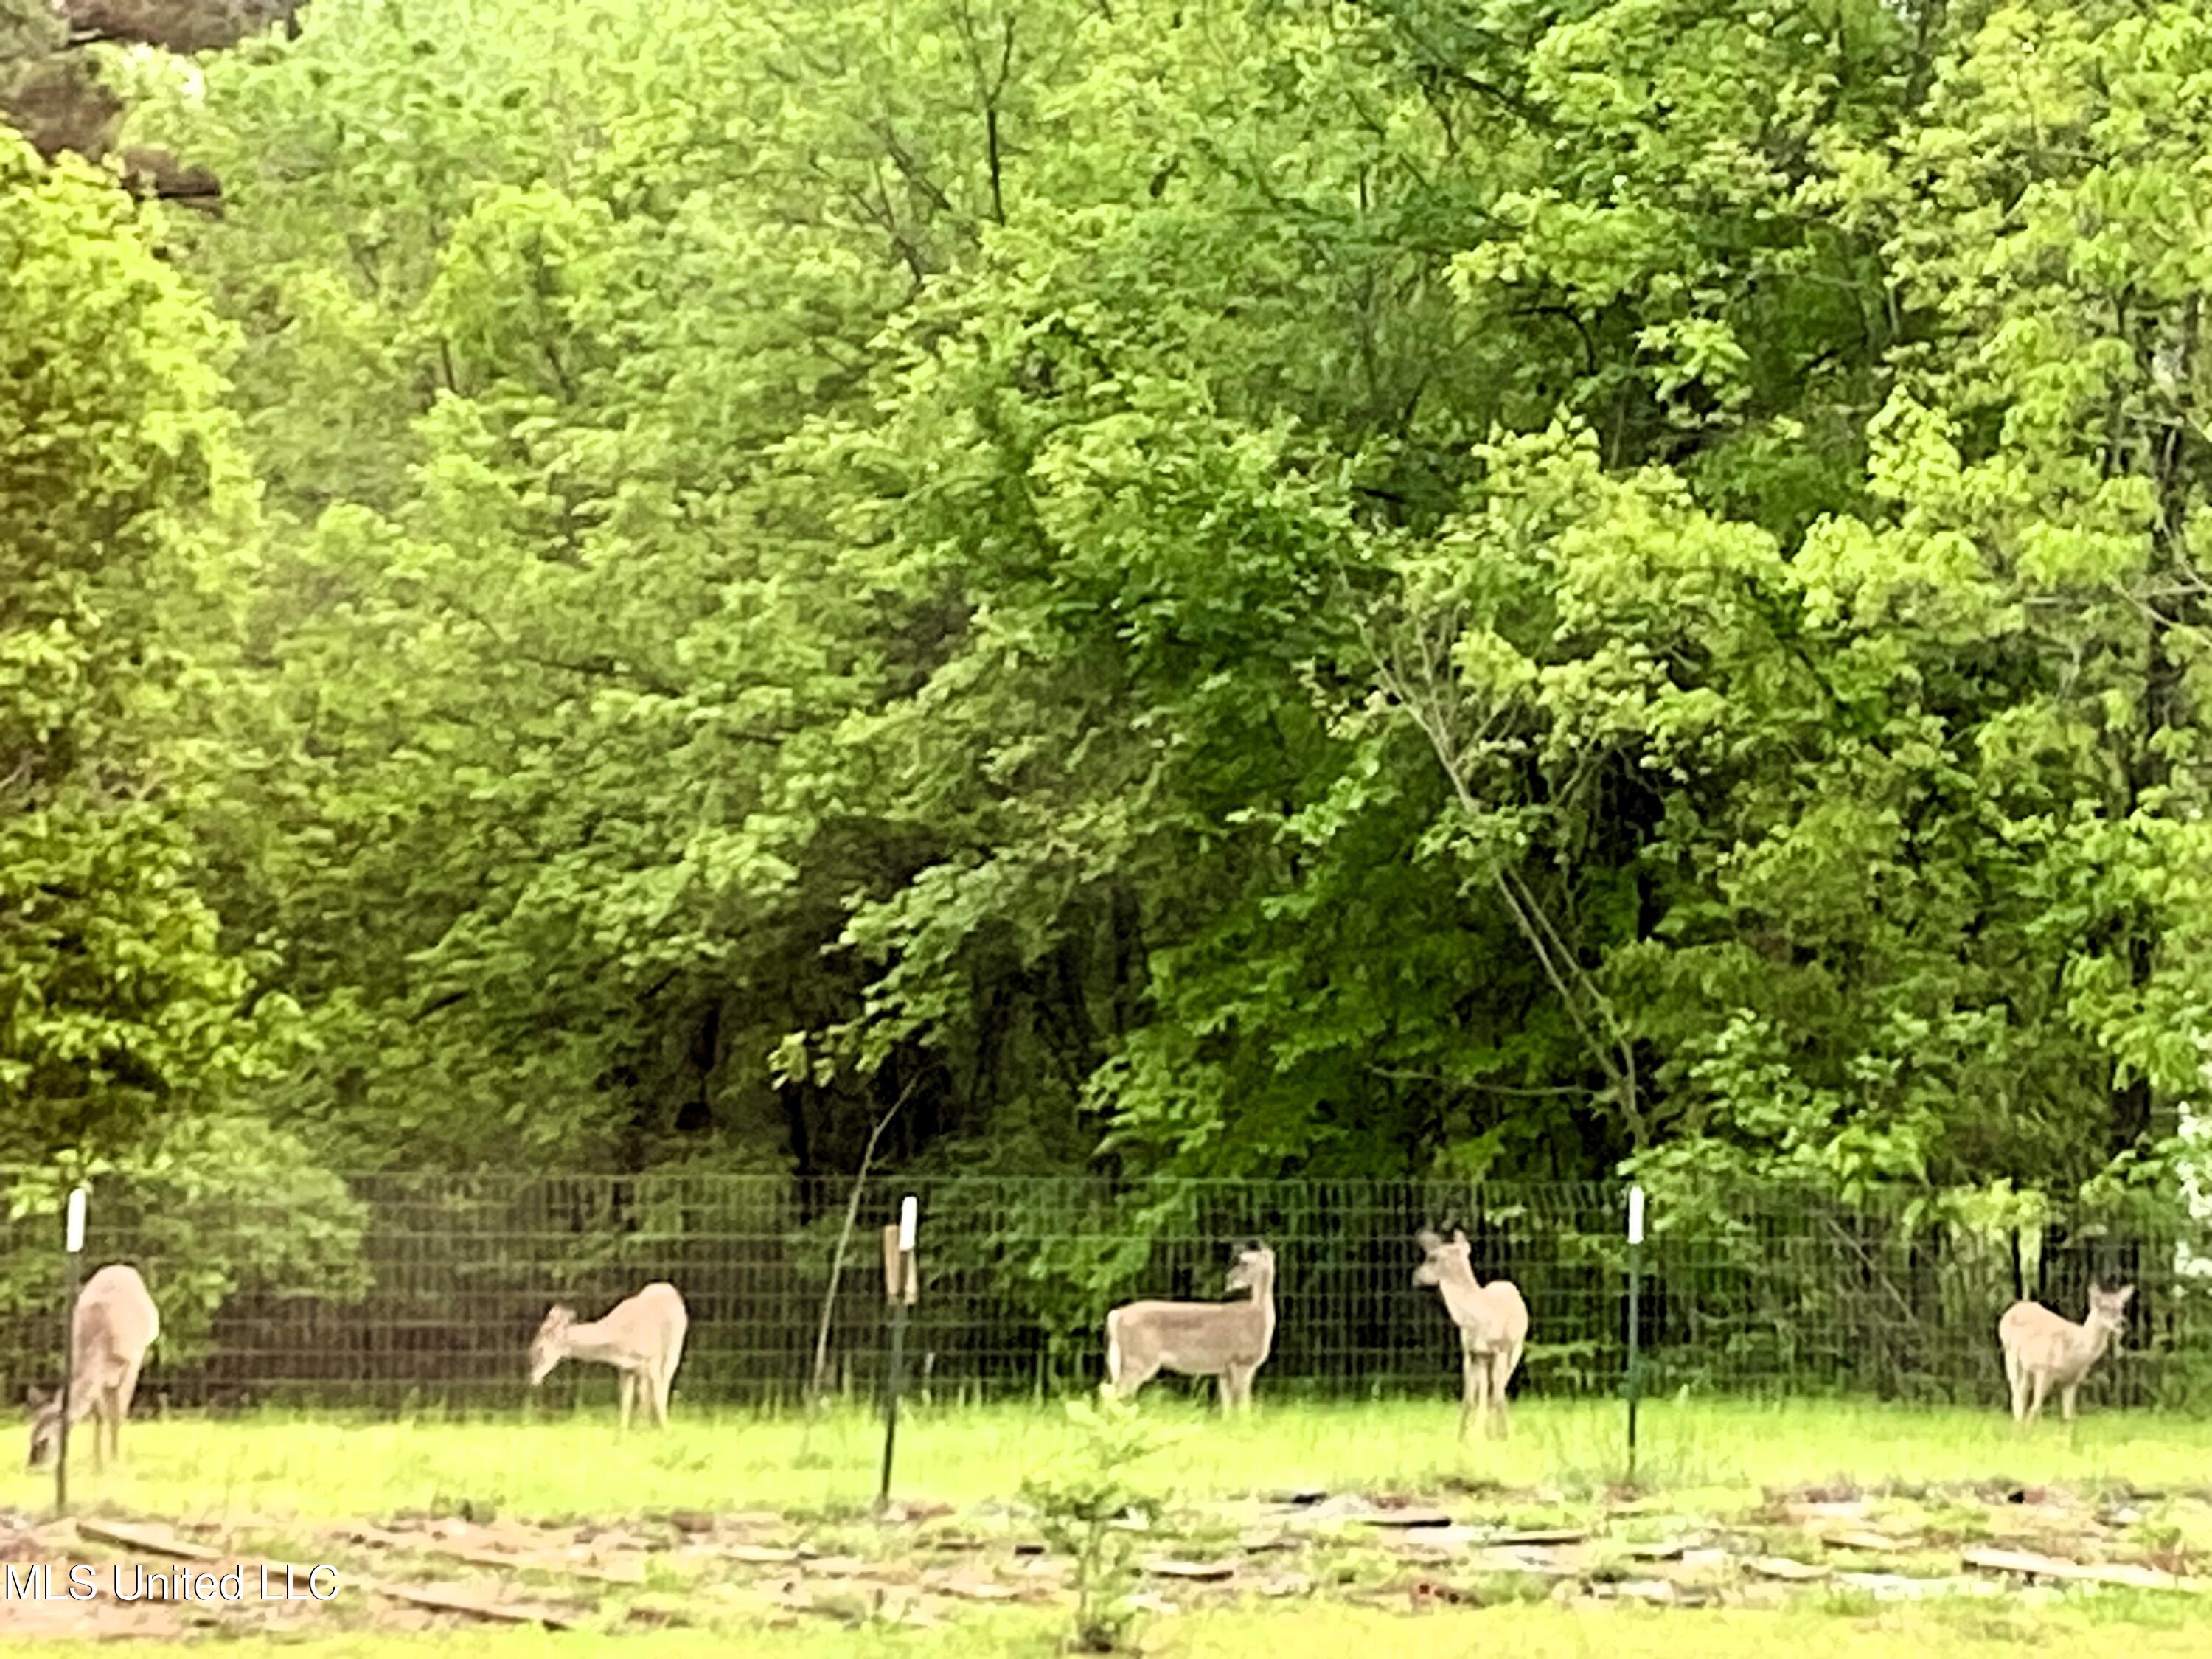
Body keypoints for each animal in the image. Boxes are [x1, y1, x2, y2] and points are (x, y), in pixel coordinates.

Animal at [27, 1263, 159, 1472]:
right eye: (30, 1436)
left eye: (44, 1441)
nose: (31, 1467)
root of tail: (121, 1267)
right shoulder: (98, 1377)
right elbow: (99, 1416)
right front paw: (97, 1463)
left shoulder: (130, 1363)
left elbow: (118, 1414)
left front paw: (115, 1460)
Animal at [528, 1281, 688, 1431]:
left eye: (540, 1349)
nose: (533, 1378)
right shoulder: (626, 1368)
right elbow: (625, 1404)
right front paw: (624, 1434)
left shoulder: (652, 1358)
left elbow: (658, 1395)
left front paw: (666, 1431)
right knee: (644, 1390)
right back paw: (644, 1424)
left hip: (674, 1348)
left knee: (664, 1382)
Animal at [1103, 1242, 1277, 1411]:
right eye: (1239, 1261)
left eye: (1245, 1263)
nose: (1229, 1280)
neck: (1260, 1318)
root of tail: (1116, 1315)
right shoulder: (1242, 1361)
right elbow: (1243, 1407)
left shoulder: (1225, 1370)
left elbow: (1228, 1409)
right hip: (1140, 1358)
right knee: (1113, 1393)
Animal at [1414, 1227, 1529, 1441]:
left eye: (1432, 1258)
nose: (1415, 1277)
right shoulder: (1471, 1352)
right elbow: (1469, 1399)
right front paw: (1461, 1438)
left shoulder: (1501, 1349)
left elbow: (1497, 1397)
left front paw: (1505, 1437)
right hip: (1485, 1360)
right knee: (1485, 1393)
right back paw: (1482, 1431)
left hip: (1515, 1350)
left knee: (1497, 1391)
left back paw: (1492, 1432)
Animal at [1998, 1282, 2133, 1428]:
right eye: (2102, 1306)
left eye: (2122, 1307)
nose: (2122, 1323)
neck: (2074, 1352)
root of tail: (2012, 1309)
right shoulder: (2043, 1369)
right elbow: (2036, 1407)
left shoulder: (2072, 1381)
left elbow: (2069, 1418)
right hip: (2010, 1354)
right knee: (2017, 1392)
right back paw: (2019, 1424)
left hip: (2027, 1368)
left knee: (2023, 1391)